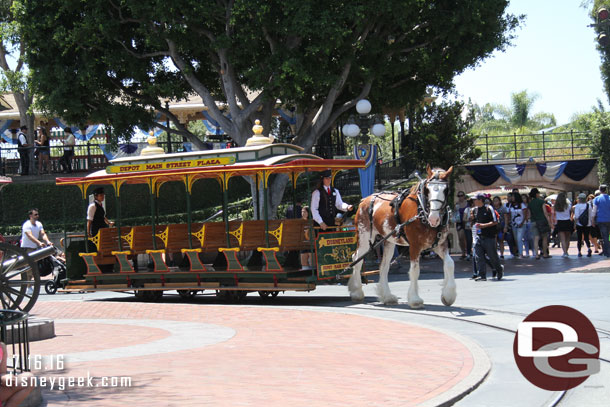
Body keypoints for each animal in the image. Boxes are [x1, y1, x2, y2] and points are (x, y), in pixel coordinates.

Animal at [344, 164, 454, 308]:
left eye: (446, 190)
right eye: (427, 189)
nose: (434, 218)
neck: (422, 210)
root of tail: (364, 200)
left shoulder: (439, 244)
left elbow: (450, 264)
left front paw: (448, 296)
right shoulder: (415, 246)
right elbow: (415, 270)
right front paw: (415, 300)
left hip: (388, 241)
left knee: (383, 266)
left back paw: (387, 296)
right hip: (364, 237)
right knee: (357, 259)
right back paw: (357, 292)